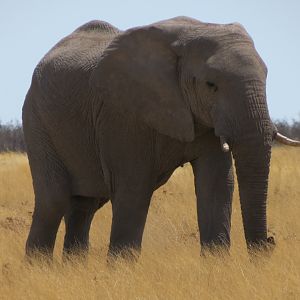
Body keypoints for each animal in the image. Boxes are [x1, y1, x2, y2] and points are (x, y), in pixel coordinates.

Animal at [21, 16, 300, 258]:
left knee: (85, 206)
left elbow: (217, 183)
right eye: (211, 85)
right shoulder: (121, 111)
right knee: (53, 201)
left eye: (267, 77)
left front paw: (216, 266)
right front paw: (120, 271)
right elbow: (133, 185)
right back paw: (40, 269)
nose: (270, 242)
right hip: (36, 120)